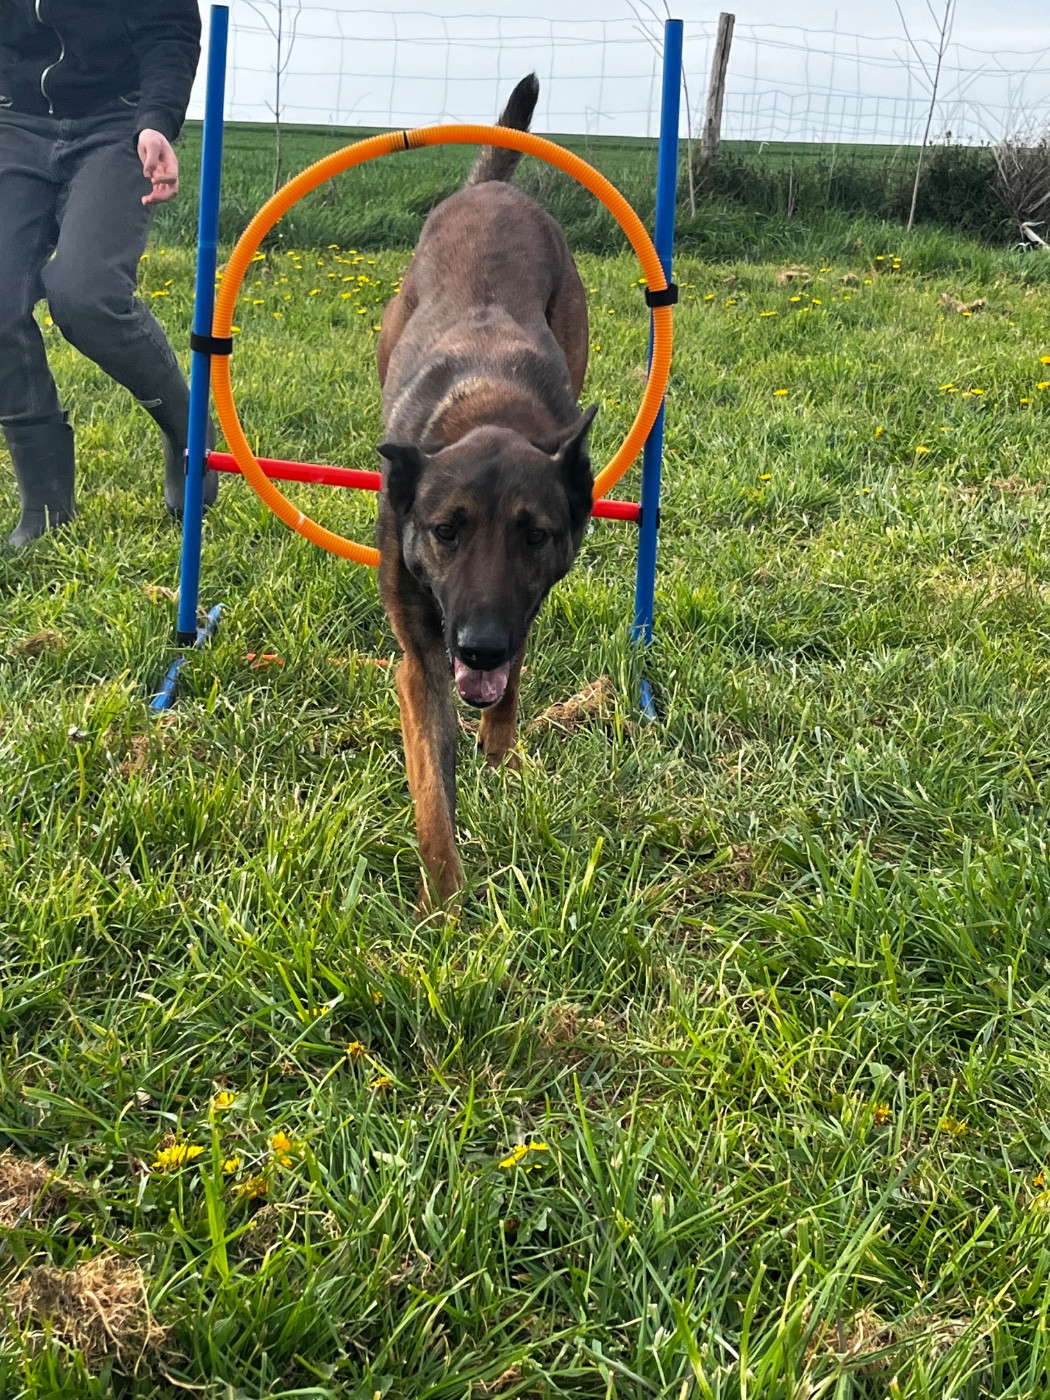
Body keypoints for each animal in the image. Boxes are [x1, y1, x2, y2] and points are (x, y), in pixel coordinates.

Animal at [375, 74, 597, 902]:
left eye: (534, 534)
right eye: (447, 530)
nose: (478, 643)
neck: (488, 408)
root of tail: (493, 192)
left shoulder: (518, 607)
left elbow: (516, 671)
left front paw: (500, 750)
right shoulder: (421, 663)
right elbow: (433, 795)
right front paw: (445, 906)